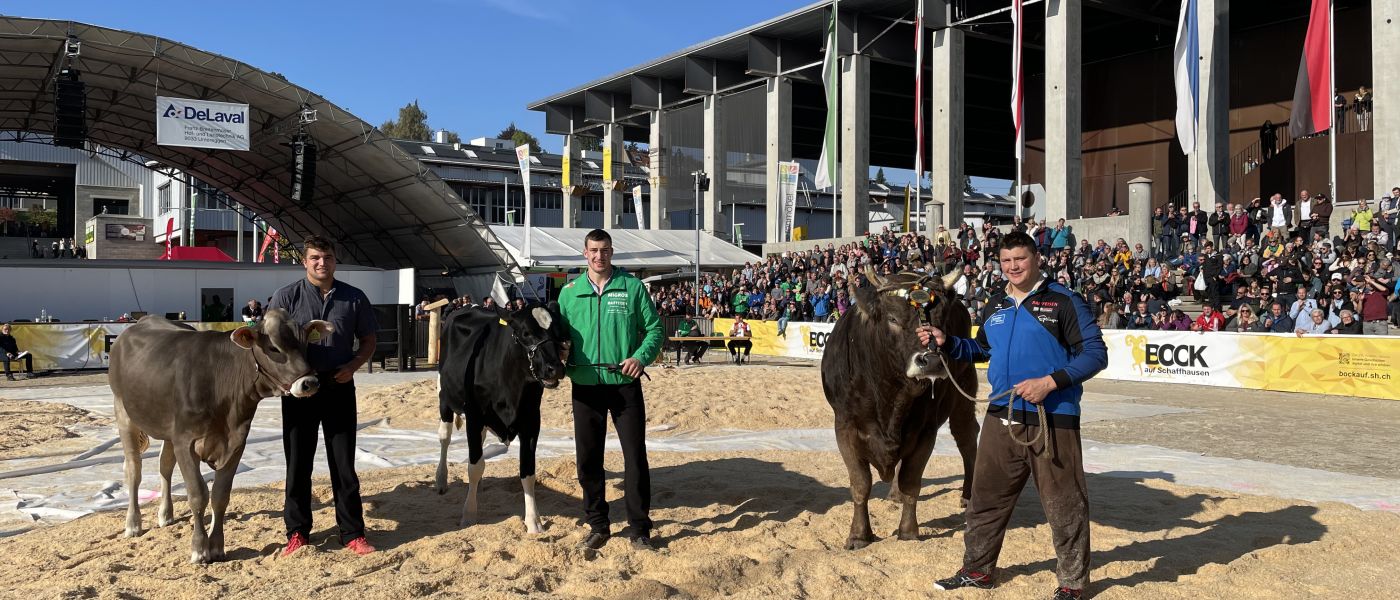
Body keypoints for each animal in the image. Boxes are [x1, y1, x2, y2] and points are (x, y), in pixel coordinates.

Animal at [109, 309, 330, 562]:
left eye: (305, 343)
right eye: (273, 347)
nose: (309, 383)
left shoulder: (236, 443)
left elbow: (220, 496)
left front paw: (216, 546)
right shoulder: (186, 441)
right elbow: (198, 494)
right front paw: (199, 549)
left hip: (167, 428)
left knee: (164, 466)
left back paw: (166, 514)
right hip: (123, 411)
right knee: (133, 470)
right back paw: (133, 524)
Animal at [436, 302, 568, 531]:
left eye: (557, 332)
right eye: (525, 333)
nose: (555, 368)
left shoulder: (531, 422)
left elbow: (528, 472)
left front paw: (534, 522)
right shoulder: (474, 416)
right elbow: (475, 466)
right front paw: (469, 515)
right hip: (444, 397)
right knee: (445, 437)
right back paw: (441, 480)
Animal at [817, 268, 980, 548]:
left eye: (940, 321)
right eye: (892, 318)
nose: (932, 360)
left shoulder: (925, 431)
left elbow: (911, 481)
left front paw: (908, 531)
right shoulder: (845, 426)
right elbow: (861, 483)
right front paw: (859, 535)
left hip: (963, 396)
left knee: (967, 440)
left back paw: (969, 496)